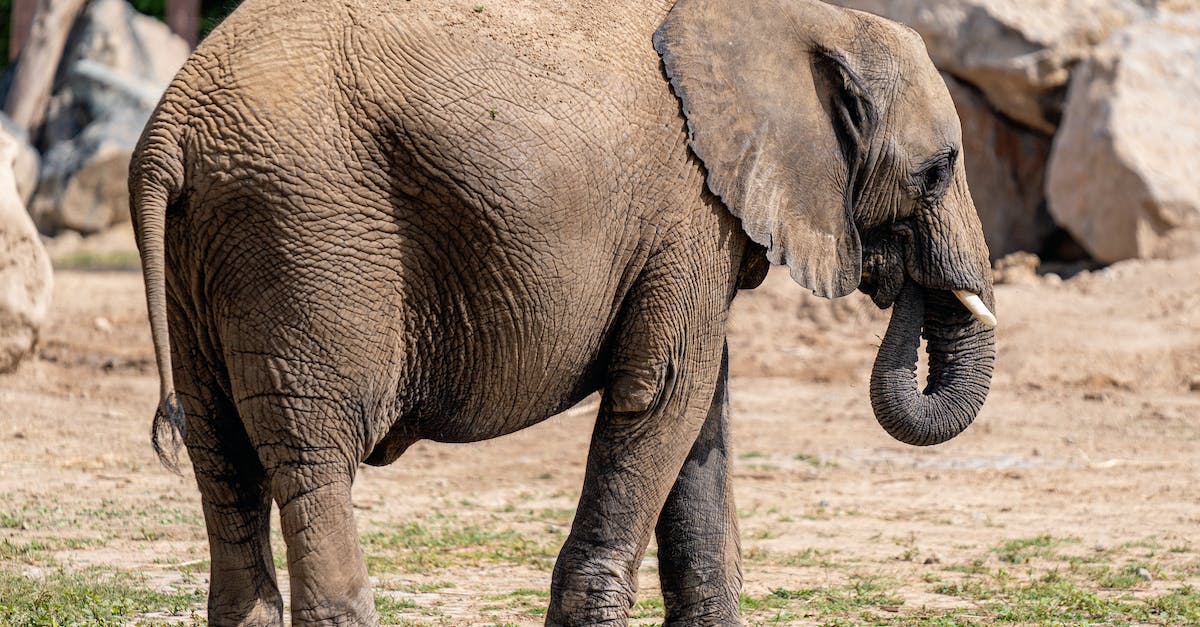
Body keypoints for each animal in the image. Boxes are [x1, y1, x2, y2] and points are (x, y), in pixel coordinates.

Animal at [130, 0, 997, 624]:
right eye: (937, 169)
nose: (896, 272)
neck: (805, 19)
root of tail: (171, 125)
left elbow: (699, 415)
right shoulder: (688, 209)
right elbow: (663, 395)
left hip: (209, 254)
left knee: (221, 453)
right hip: (306, 237)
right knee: (314, 453)